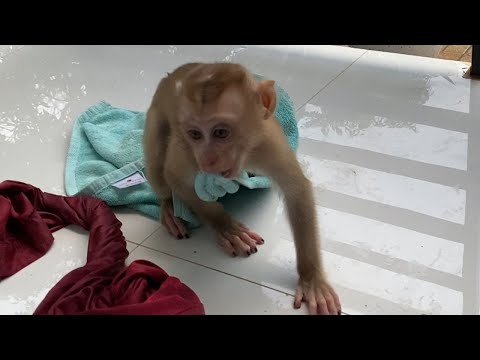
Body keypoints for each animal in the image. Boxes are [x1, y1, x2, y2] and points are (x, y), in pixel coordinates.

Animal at [142, 62, 342, 316]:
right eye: (195, 134)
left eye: (221, 132)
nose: (207, 160)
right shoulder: (187, 149)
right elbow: (174, 176)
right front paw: (226, 226)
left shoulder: (268, 141)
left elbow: (296, 189)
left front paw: (311, 278)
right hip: (157, 116)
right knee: (158, 156)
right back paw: (168, 206)